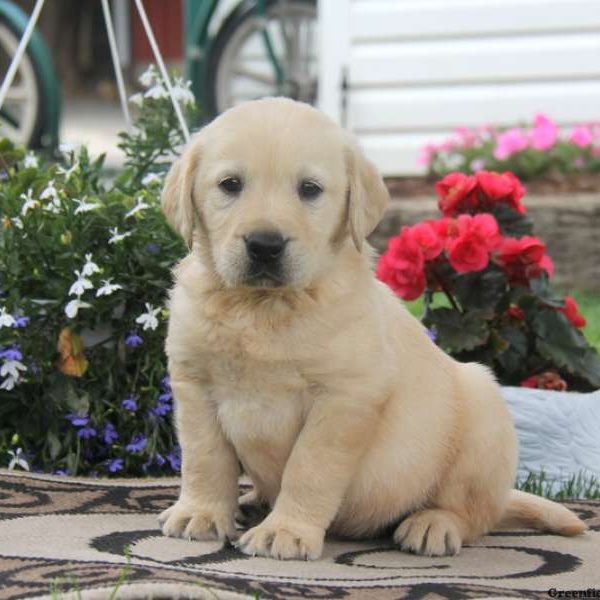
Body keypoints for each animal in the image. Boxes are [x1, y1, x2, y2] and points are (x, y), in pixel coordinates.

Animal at [158, 98, 584, 564]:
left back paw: (433, 524)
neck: (264, 308)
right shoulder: (194, 384)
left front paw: (285, 532)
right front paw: (200, 513)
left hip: (483, 411)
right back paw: (253, 501)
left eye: (309, 189)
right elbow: (204, 458)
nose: (265, 245)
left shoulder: (345, 396)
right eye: (230, 185)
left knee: (472, 513)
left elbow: (309, 467)